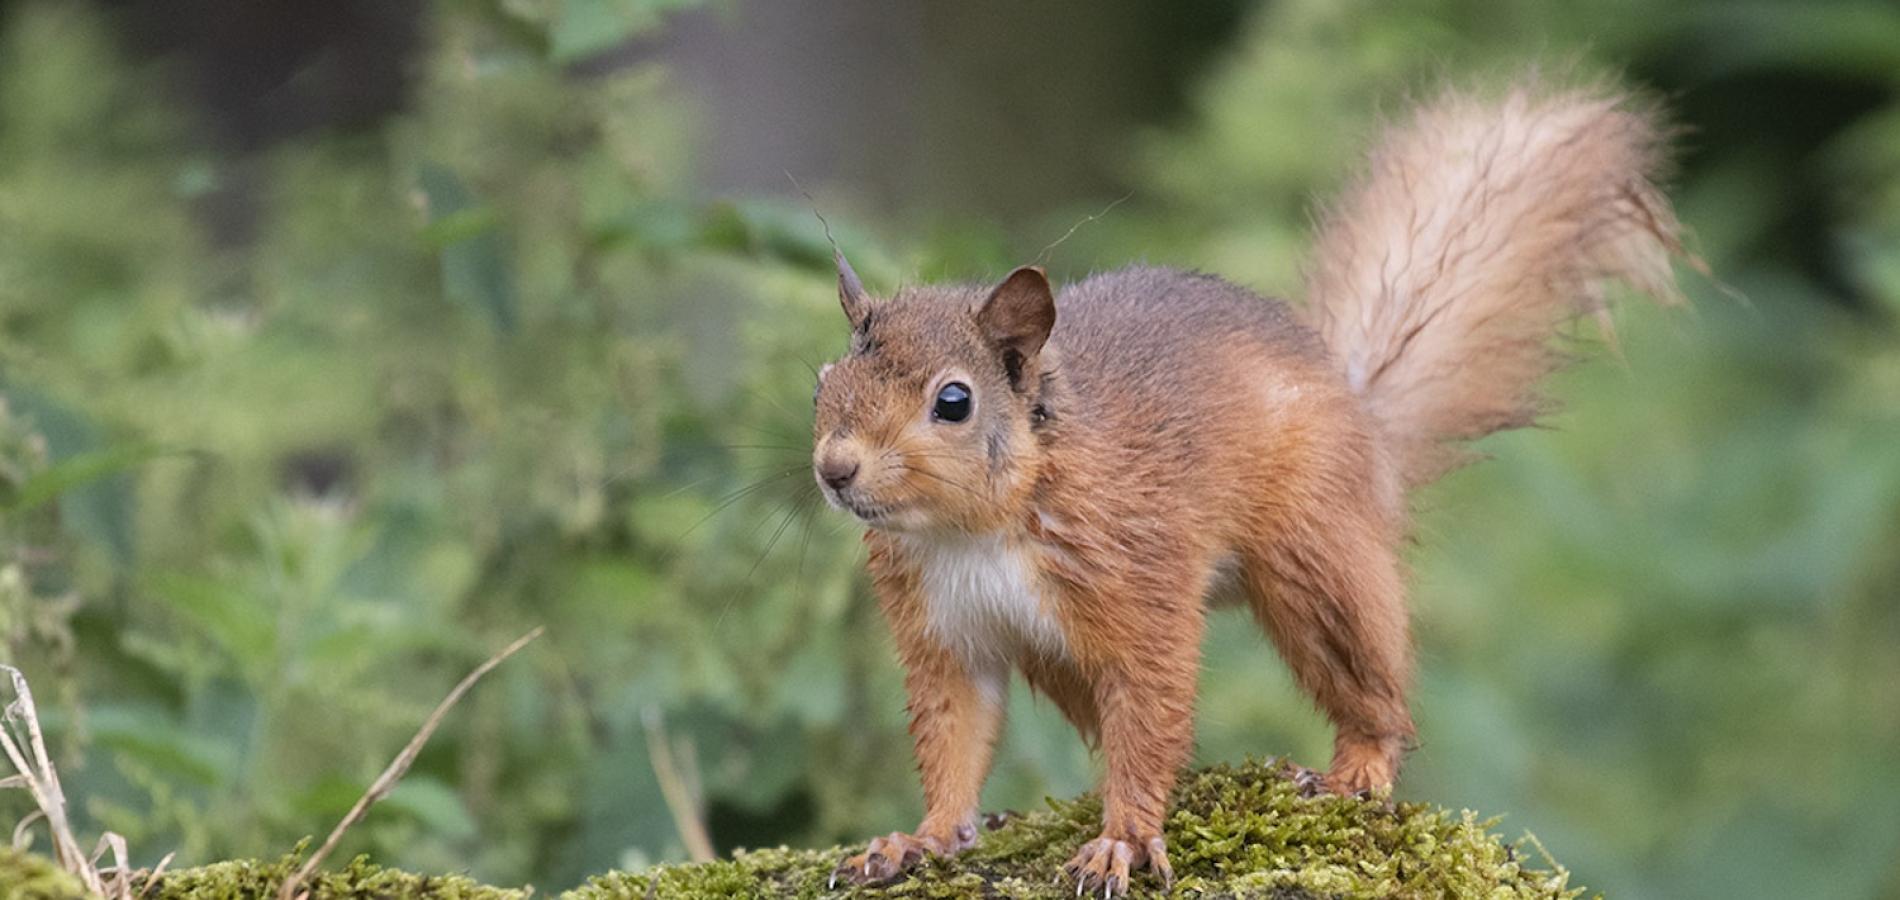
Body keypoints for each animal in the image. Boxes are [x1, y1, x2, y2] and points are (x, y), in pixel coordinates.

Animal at [809, 80, 1687, 896]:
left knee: (1370, 687)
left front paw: (1122, 841)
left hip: (1314, 559)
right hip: (1063, 656)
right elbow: (953, 734)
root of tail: (1362, 425)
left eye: (954, 401)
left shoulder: (1138, 576)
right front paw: (922, 839)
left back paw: (1352, 770)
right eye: (824, 379)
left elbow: (1152, 705)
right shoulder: (943, 631)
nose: (834, 469)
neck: (974, 528)